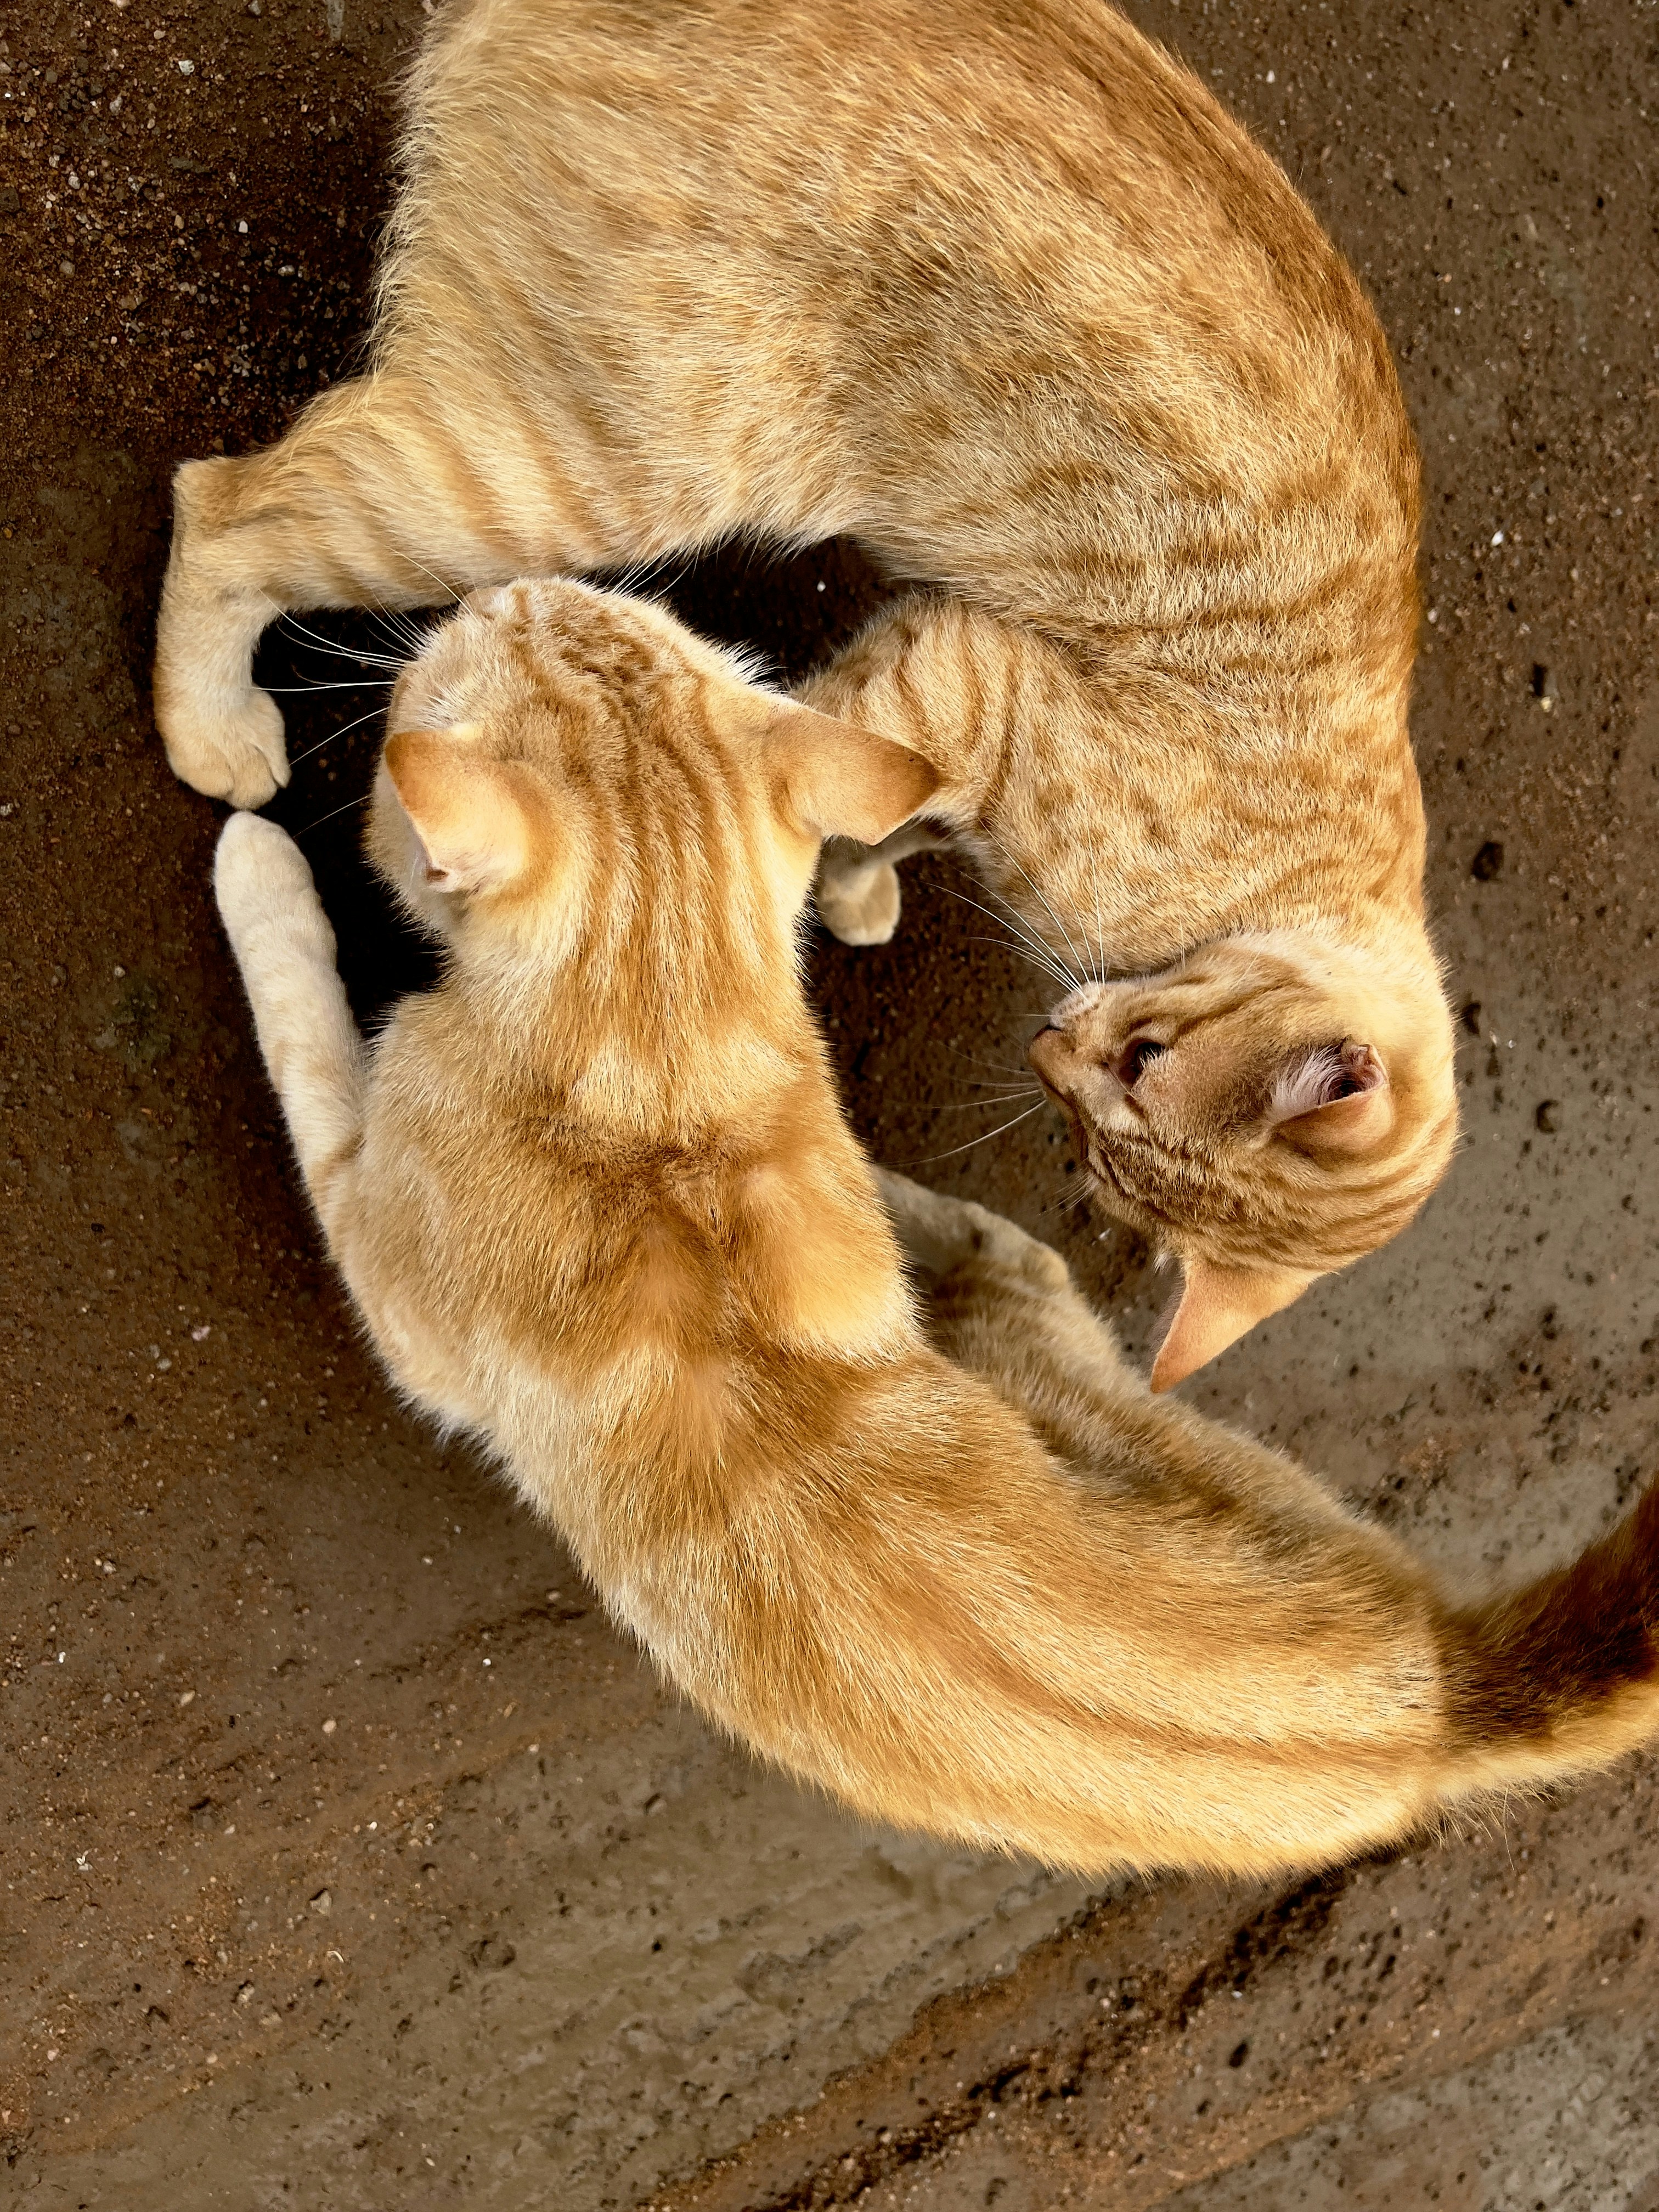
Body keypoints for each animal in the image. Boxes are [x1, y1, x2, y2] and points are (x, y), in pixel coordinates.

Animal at [156, 0, 1456, 1388]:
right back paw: (215, 725)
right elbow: (826, 778)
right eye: (1136, 1069)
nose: (1049, 1050)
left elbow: (889, 817)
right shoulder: (963, 677)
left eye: (1099, 1144)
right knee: (227, 508)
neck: (1295, 893)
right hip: (568, 472)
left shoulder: (947, 686)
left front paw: (861, 886)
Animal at [211, 577, 1659, 1879]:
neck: (662, 1065)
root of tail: (1441, 1694)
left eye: (473, 640)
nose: (488, 588)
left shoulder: (390, 1268)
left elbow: (305, 1031)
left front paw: (256, 864)